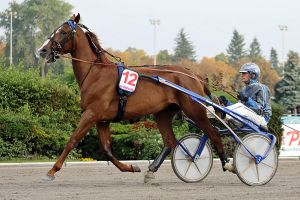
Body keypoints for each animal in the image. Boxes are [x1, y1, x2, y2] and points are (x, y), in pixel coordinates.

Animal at [37, 14, 227, 182]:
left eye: (63, 32)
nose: (42, 50)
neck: (96, 74)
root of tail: (195, 75)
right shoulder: (102, 119)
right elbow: (106, 149)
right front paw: (131, 167)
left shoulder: (90, 114)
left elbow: (72, 140)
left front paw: (51, 171)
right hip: (163, 113)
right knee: (169, 141)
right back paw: (152, 170)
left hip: (194, 110)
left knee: (214, 133)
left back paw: (226, 163)